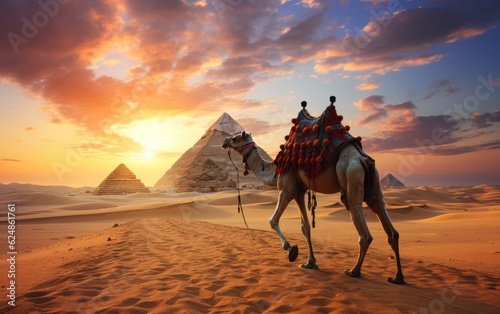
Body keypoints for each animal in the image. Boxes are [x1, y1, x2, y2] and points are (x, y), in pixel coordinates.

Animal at [223, 97, 406, 284]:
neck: (274, 169)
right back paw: (397, 277)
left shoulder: (286, 189)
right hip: (374, 184)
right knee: (389, 224)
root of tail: (363, 159)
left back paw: (354, 271)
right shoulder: (299, 192)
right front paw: (310, 262)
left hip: (351, 176)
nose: (224, 141)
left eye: (236, 138)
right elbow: (305, 227)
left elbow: (273, 220)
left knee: (363, 230)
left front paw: (291, 250)